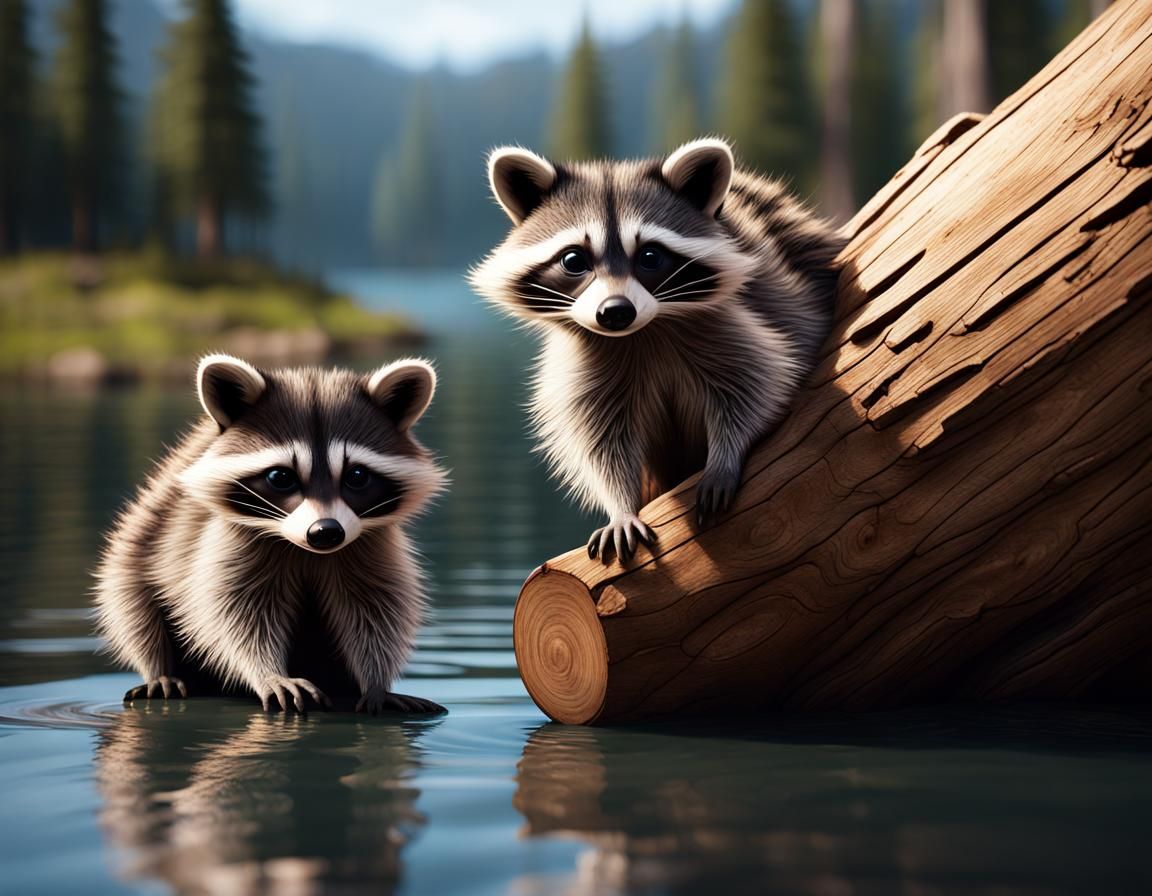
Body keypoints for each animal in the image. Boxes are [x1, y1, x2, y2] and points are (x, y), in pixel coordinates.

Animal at [94, 354, 447, 714]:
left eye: (357, 476)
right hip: (146, 532)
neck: (305, 549)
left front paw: (375, 681)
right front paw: (269, 672)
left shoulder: (370, 544)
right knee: (131, 604)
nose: (325, 532)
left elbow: (377, 609)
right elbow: (231, 614)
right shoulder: (224, 540)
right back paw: (161, 671)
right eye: (281, 477)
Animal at [470, 137, 845, 563]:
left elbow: (758, 385)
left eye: (650, 256)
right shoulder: (589, 367)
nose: (615, 311)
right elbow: (598, 439)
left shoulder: (732, 326)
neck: (642, 333)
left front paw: (725, 456)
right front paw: (620, 505)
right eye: (574, 260)